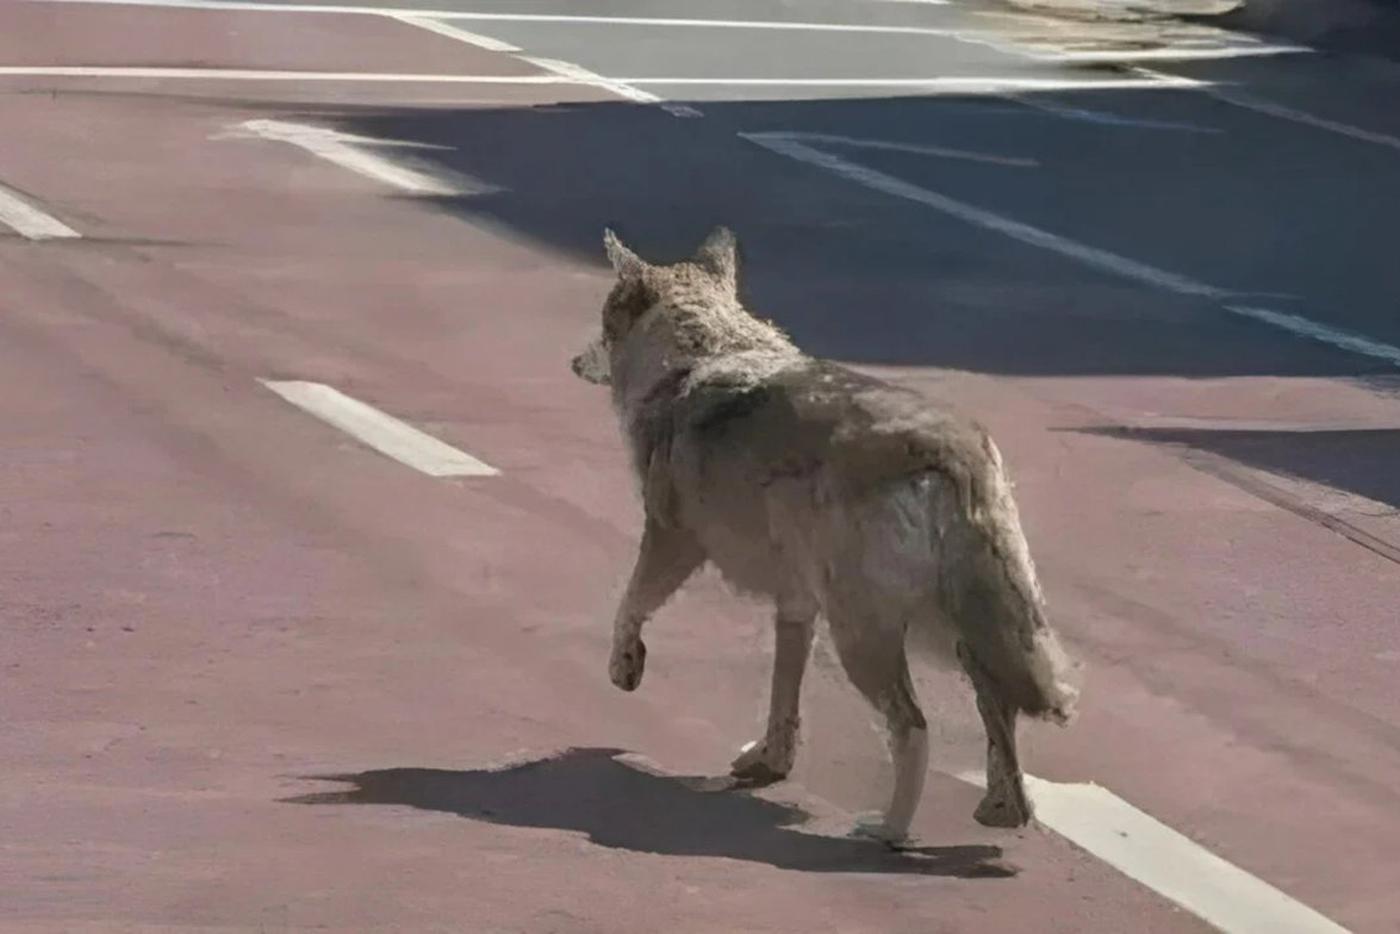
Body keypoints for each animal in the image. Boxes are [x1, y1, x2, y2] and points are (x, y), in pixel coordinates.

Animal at [571, 227, 1079, 841]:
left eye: (603, 326)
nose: (572, 362)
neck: (703, 352)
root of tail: (954, 448)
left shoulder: (672, 541)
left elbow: (628, 607)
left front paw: (625, 667)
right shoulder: (795, 606)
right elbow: (782, 699)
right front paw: (769, 762)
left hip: (866, 637)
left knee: (913, 728)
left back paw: (888, 831)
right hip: (961, 634)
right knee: (999, 714)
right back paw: (1001, 812)